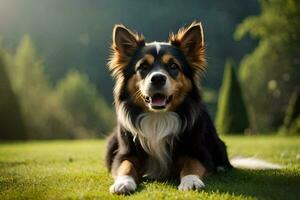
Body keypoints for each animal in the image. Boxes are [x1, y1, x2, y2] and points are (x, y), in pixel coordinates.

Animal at [104, 22, 280, 195]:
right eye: (143, 67)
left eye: (173, 66)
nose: (158, 78)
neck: (158, 117)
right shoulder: (125, 153)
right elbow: (125, 165)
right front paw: (123, 182)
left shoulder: (198, 151)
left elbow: (191, 163)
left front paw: (191, 181)